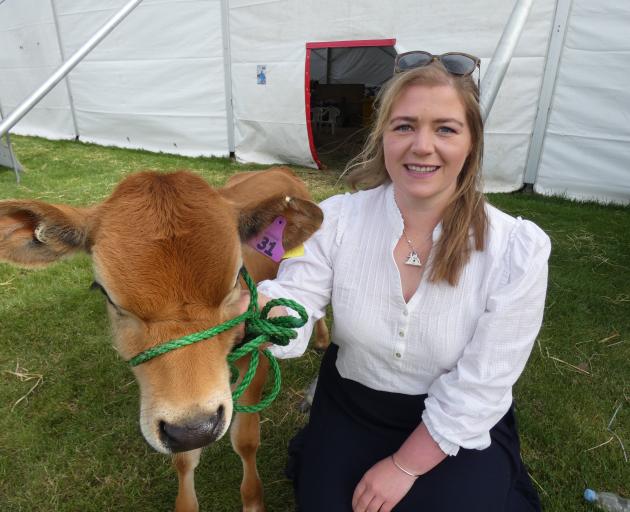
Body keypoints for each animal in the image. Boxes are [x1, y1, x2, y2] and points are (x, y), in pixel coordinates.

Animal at [1, 167, 330, 508]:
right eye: (104, 291)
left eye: (235, 280)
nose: (195, 429)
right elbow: (183, 458)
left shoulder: (259, 353)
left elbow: (245, 439)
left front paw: (253, 501)